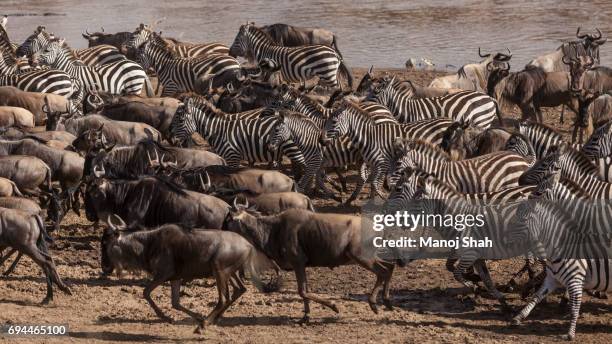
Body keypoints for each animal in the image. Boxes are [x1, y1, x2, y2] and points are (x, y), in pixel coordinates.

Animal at [320, 98, 454, 198]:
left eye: (334, 122)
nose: (321, 141)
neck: (369, 137)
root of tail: (451, 121)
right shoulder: (374, 164)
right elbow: (373, 183)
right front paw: (372, 199)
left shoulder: (382, 163)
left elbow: (375, 183)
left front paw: (383, 197)